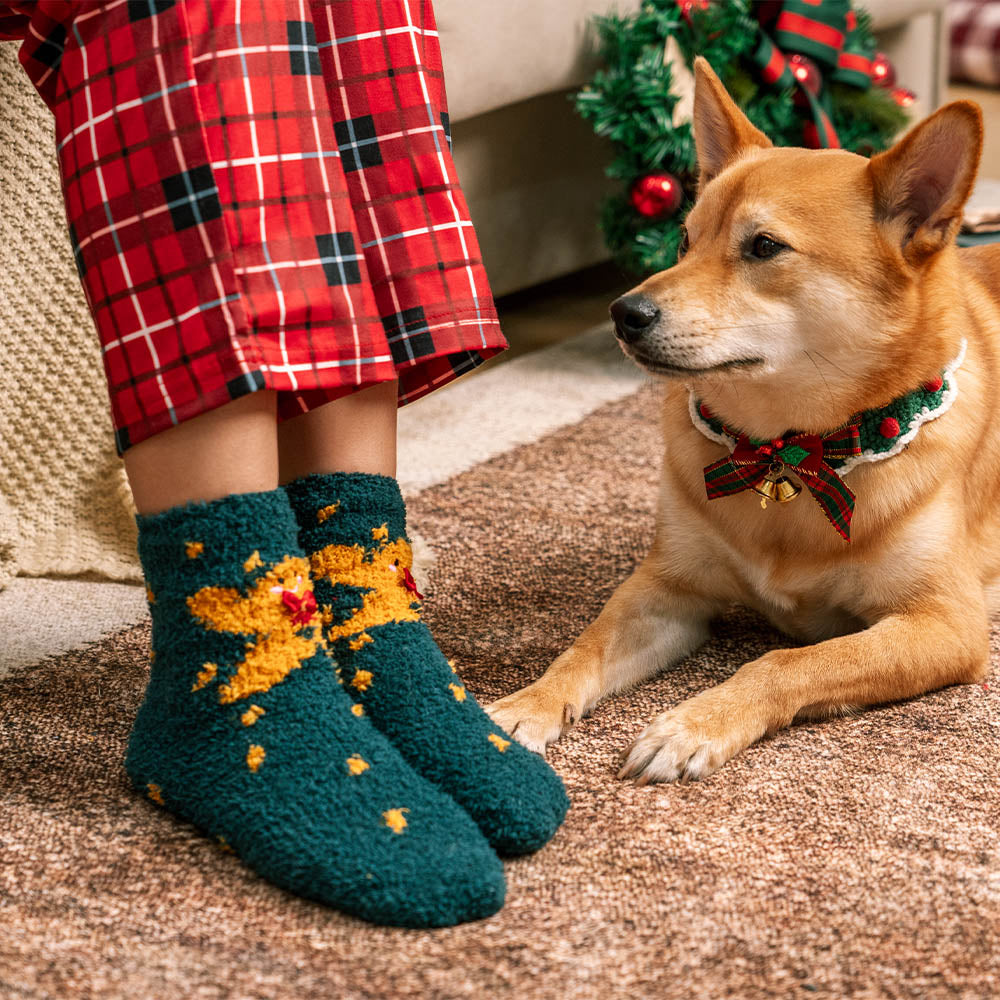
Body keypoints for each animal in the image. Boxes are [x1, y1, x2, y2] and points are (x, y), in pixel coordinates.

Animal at [486, 58, 1000, 784]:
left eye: (763, 247)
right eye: (682, 239)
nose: (623, 313)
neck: (791, 452)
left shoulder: (944, 624)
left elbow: (789, 662)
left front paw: (694, 724)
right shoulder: (664, 590)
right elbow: (581, 649)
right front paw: (522, 707)